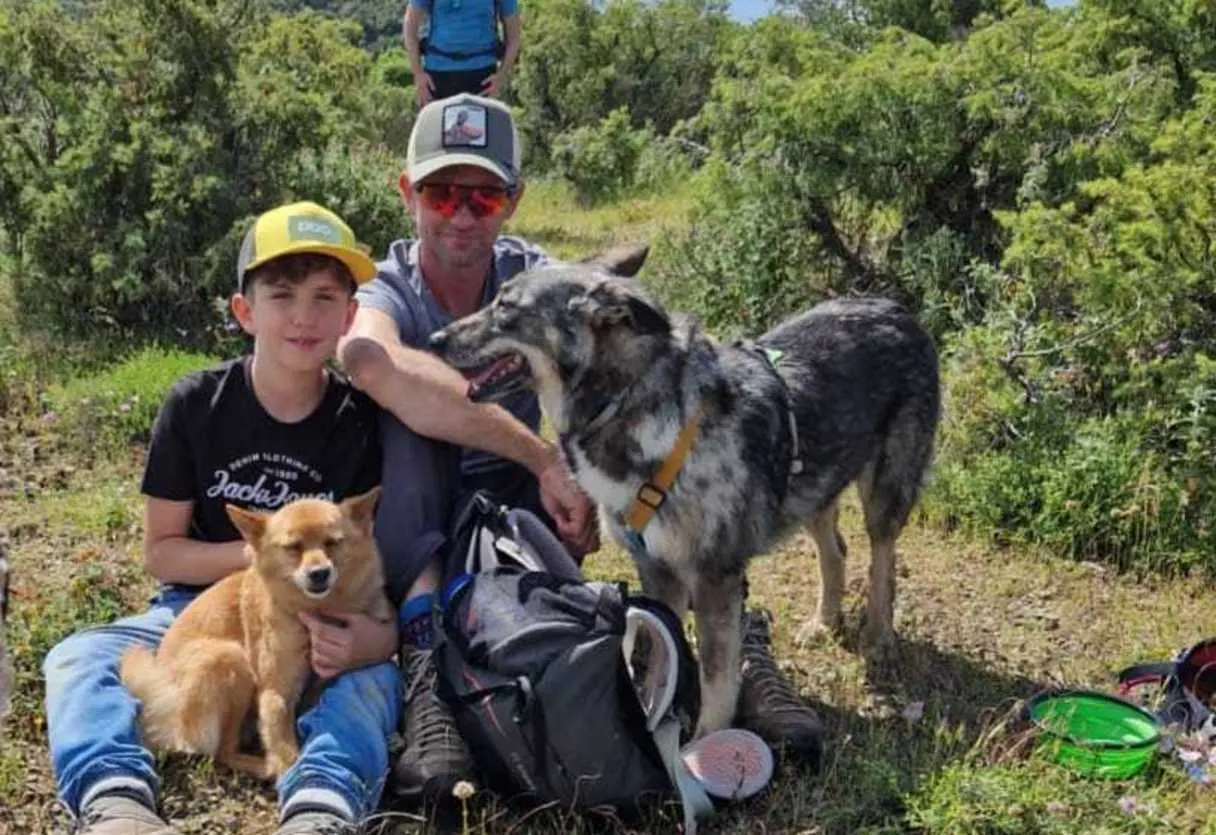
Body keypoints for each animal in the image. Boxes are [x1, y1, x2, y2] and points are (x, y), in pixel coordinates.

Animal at [119, 486, 389, 782]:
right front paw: (286, 767)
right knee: (223, 752)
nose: (319, 573)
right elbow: (285, 749)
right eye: (293, 547)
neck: (317, 610)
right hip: (231, 658)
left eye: (333, 542)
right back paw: (265, 766)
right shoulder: (275, 691)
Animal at [428, 247, 938, 738]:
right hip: (815, 486)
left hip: (883, 492)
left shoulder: (715, 579)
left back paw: (879, 640)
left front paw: (703, 743)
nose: (434, 340)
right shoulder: (657, 570)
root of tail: (893, 308)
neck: (626, 403)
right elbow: (657, 650)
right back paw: (824, 623)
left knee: (882, 560)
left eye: (505, 306)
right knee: (836, 550)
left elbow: (716, 676)